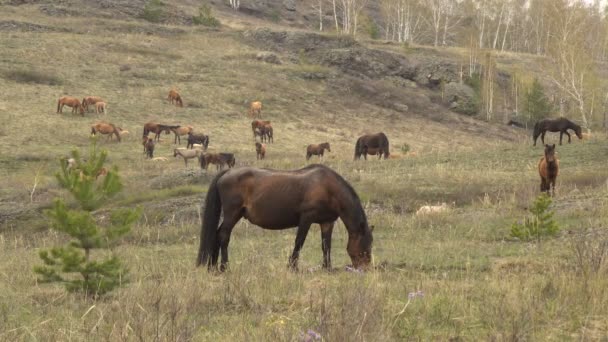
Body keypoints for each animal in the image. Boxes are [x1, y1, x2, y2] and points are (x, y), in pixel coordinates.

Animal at [197, 164, 372, 272]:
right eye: (366, 246)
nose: (365, 268)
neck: (329, 188)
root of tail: (226, 172)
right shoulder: (306, 218)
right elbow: (299, 242)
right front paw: (293, 267)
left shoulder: (327, 222)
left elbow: (326, 246)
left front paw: (327, 268)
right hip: (232, 213)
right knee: (223, 236)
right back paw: (224, 267)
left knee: (217, 234)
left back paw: (212, 267)